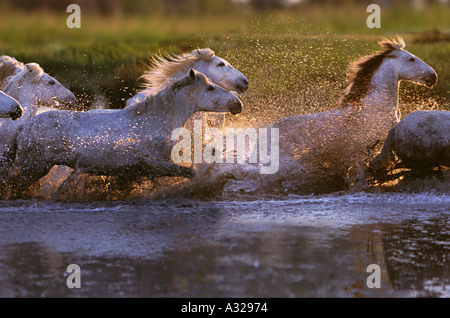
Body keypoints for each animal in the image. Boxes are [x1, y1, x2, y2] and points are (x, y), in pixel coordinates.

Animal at [1, 69, 243, 199]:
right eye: (210, 87)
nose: (237, 104)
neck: (153, 122)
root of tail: (25, 126)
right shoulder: (152, 165)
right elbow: (189, 173)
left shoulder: (130, 172)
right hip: (35, 168)